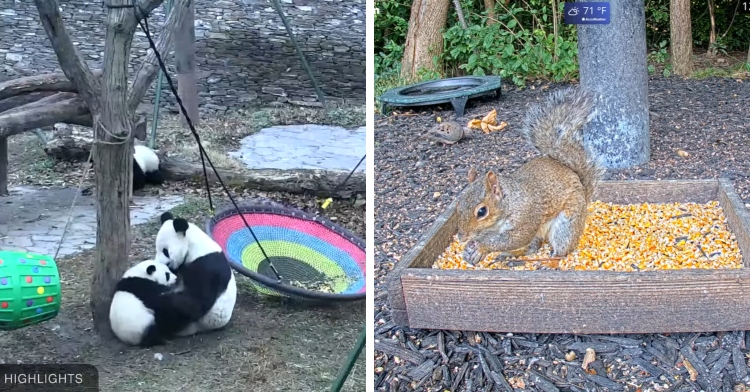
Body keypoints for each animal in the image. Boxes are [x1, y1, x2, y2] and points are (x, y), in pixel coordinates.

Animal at [452, 87, 604, 266]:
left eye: (482, 211)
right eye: (458, 205)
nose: (462, 237)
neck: (509, 203)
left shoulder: (527, 217)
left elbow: (514, 238)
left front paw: (482, 247)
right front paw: (469, 249)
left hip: (566, 224)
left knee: (561, 251)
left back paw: (548, 263)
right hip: (541, 233)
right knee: (533, 248)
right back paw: (511, 255)